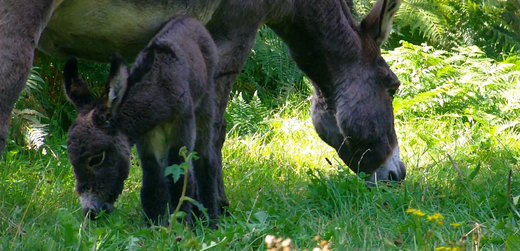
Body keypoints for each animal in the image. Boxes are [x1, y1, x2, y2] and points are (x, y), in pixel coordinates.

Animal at [63, 17, 219, 226]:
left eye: (96, 159)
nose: (91, 213)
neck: (160, 95)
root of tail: (188, 19)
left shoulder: (181, 131)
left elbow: (181, 179)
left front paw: (179, 227)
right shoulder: (148, 140)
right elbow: (153, 184)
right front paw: (155, 226)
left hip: (204, 106)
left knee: (205, 158)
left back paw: (211, 219)